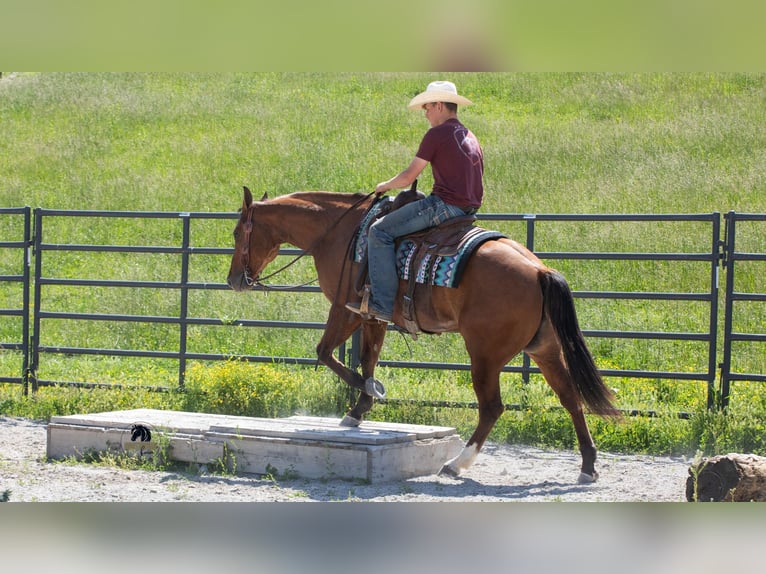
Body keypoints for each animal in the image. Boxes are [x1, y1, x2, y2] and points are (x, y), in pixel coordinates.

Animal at [227, 186, 619, 483]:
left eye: (236, 233)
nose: (233, 280)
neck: (341, 232)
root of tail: (539, 271)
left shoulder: (345, 306)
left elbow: (326, 352)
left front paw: (369, 392)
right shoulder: (373, 315)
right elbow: (368, 357)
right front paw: (359, 409)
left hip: (485, 355)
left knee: (492, 407)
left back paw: (456, 464)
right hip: (544, 349)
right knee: (570, 398)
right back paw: (587, 467)